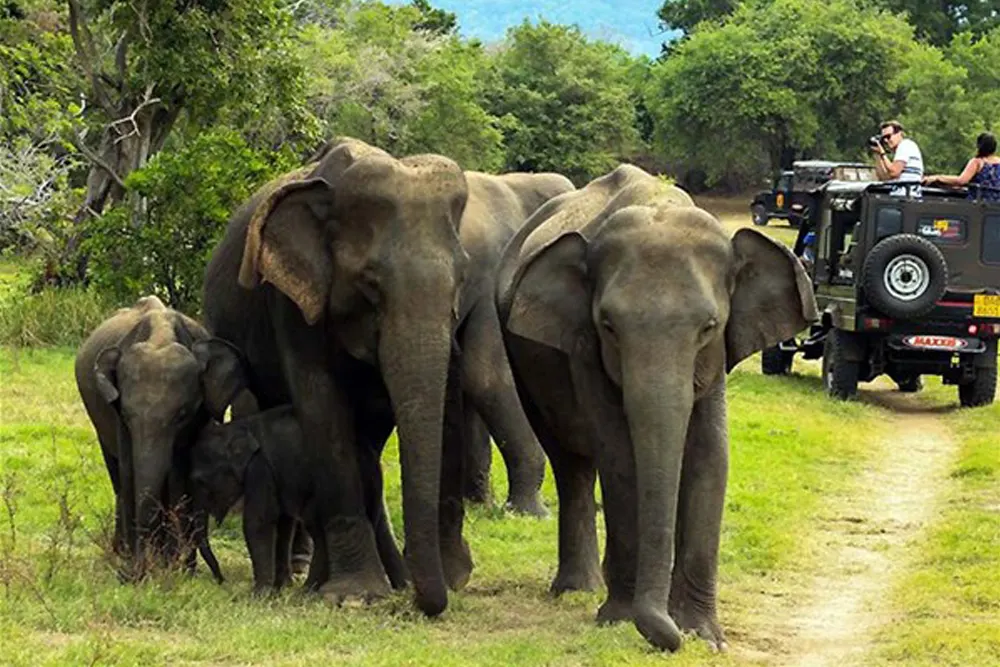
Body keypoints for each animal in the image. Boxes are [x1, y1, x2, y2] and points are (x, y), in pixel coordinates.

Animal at [75, 295, 250, 582]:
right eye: (126, 414)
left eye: (182, 415)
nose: (220, 579)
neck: (161, 335)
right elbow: (130, 472)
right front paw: (141, 567)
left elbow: (179, 477)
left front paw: (175, 568)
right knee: (117, 476)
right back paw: (122, 552)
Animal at [202, 137, 473, 615]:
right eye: (370, 284)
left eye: (462, 279)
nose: (432, 599)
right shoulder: (291, 298)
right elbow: (321, 405)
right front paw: (354, 597)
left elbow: (373, 421)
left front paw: (384, 586)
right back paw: (296, 572)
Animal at [495, 164, 817, 651]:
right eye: (608, 326)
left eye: (709, 327)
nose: (669, 635)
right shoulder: (584, 347)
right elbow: (619, 454)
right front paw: (620, 620)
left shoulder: (716, 359)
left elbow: (709, 455)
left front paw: (704, 636)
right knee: (571, 463)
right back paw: (580, 589)